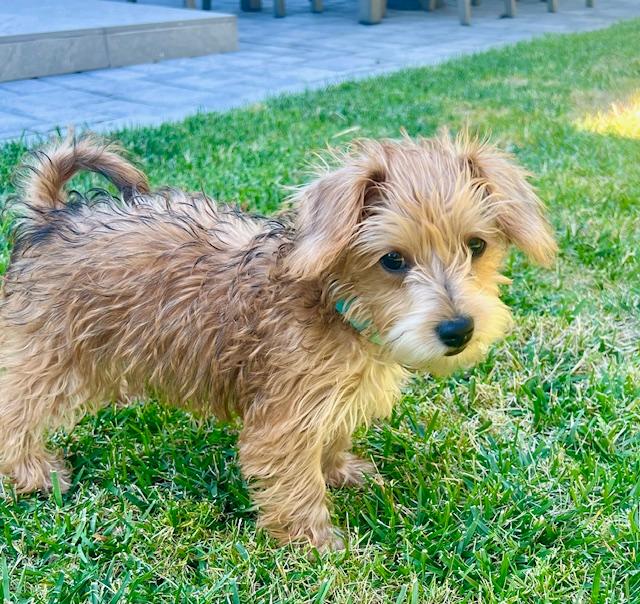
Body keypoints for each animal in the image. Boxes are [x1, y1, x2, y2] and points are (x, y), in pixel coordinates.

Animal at [0, 132, 556, 548]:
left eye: (477, 245)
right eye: (393, 260)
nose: (458, 329)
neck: (332, 302)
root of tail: (51, 218)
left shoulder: (328, 402)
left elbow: (332, 440)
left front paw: (341, 469)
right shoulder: (283, 421)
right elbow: (296, 484)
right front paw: (317, 543)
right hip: (48, 355)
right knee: (16, 411)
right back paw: (32, 474)